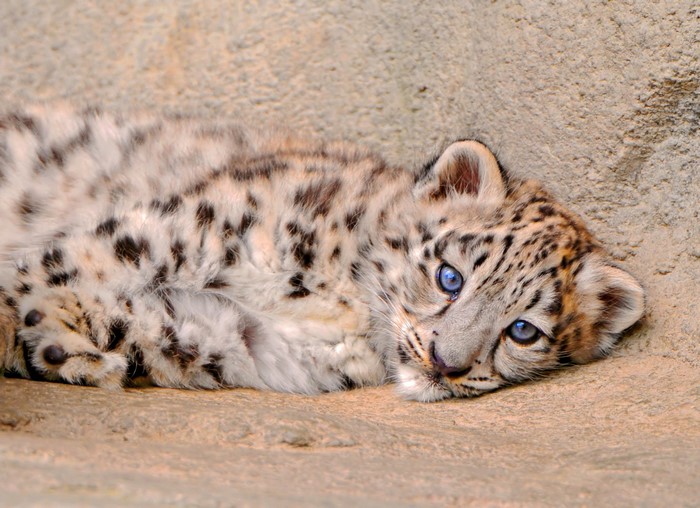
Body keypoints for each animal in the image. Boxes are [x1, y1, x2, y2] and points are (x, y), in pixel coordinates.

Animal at [0, 103, 645, 402]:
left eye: (523, 331)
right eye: (450, 276)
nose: (446, 364)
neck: (337, 301)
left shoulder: (226, 334)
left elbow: (128, 320)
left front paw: (66, 353)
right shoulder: (185, 228)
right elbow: (69, 264)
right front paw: (46, 338)